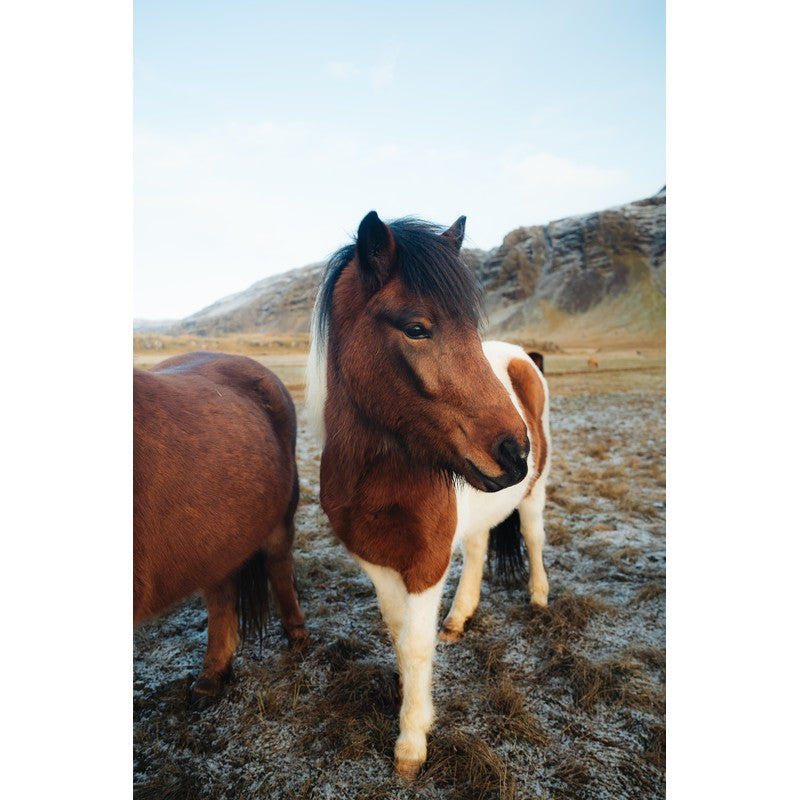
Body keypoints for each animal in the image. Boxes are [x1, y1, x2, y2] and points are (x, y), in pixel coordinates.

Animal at [134, 351, 308, 705]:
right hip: (216, 540)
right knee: (221, 594)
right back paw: (211, 677)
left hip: (279, 522)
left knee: (279, 568)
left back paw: (297, 637)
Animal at [306, 212, 550, 778]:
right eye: (416, 328)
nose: (514, 452)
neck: (380, 476)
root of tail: (522, 357)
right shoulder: (375, 559)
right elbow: (398, 634)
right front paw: (410, 701)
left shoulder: (427, 562)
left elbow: (416, 645)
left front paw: (413, 738)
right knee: (480, 550)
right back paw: (460, 618)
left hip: (534, 494)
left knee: (533, 537)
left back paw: (539, 597)